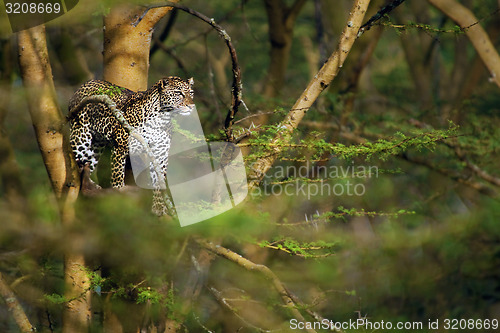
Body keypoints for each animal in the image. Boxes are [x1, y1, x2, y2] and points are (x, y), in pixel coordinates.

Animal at [68, 76, 195, 214]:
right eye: (179, 93)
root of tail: (82, 86)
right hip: (81, 137)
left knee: (87, 166)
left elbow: (159, 182)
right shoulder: (120, 146)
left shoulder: (160, 154)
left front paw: (158, 207)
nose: (191, 106)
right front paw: (118, 196)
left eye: (191, 93)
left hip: (95, 146)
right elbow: (117, 177)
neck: (162, 119)